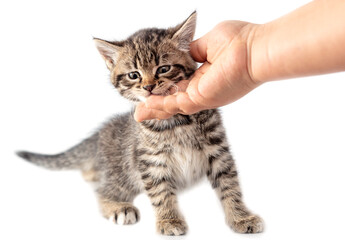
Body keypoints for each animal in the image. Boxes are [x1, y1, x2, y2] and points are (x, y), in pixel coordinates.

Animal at [16, 12, 264, 235]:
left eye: (163, 68)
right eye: (134, 75)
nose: (149, 86)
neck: (176, 122)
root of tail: (100, 134)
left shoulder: (218, 150)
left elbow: (230, 185)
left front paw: (241, 217)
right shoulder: (150, 160)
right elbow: (161, 192)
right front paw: (169, 220)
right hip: (123, 172)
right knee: (102, 191)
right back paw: (119, 207)